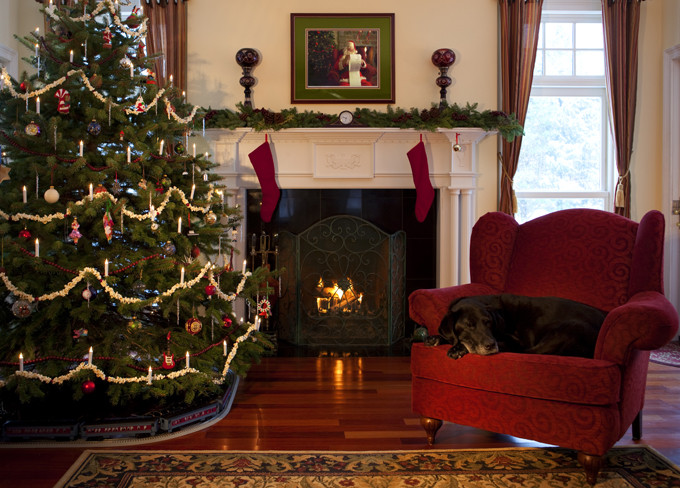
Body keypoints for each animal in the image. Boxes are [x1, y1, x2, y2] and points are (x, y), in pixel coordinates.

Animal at [428, 294, 608, 358]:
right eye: (469, 326)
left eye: (488, 322)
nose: (490, 345)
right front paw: (435, 338)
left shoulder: (514, 340)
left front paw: (458, 348)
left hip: (567, 329)